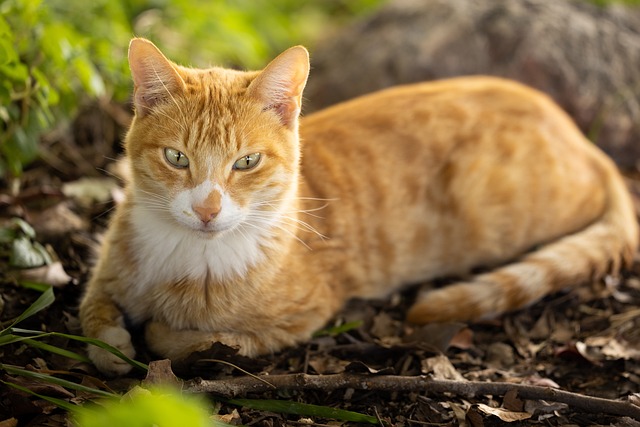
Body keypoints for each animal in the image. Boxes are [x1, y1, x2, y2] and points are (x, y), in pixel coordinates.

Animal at [77, 38, 636, 376]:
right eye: (176, 157)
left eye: (246, 162)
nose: (208, 209)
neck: (184, 254)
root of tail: (583, 139)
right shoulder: (107, 273)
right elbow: (93, 312)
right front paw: (114, 346)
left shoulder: (297, 319)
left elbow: (187, 339)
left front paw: (150, 334)